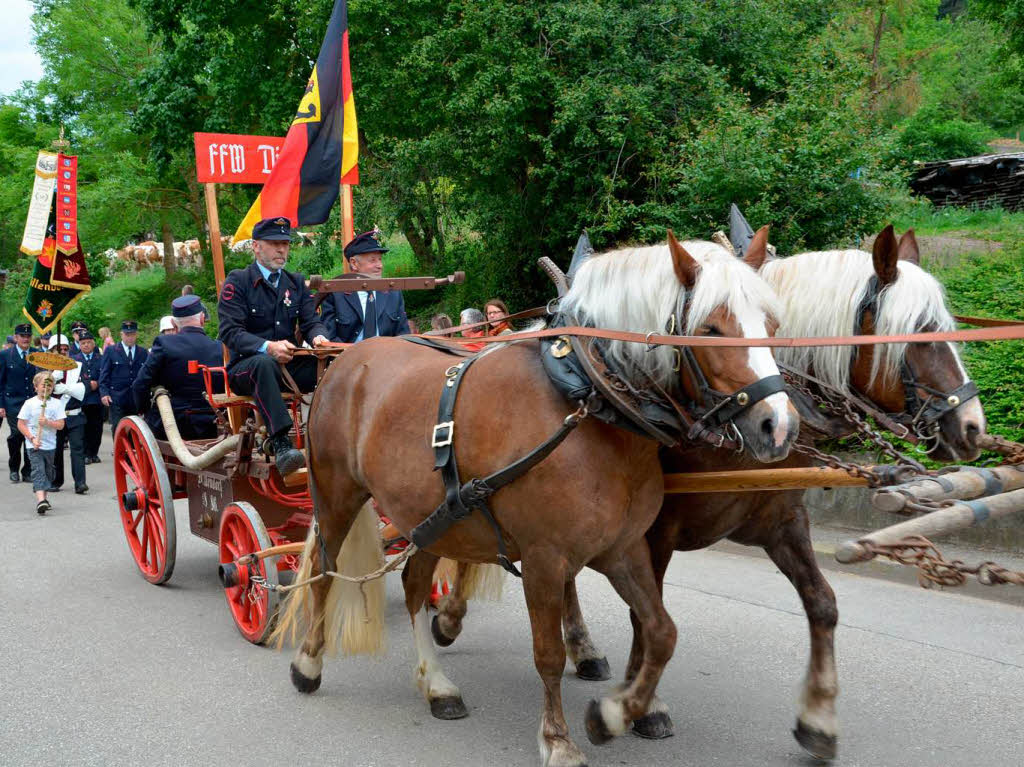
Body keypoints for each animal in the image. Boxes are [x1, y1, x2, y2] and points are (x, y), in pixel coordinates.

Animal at [280, 233, 798, 765]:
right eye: (710, 328)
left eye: (773, 326)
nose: (778, 427)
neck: (588, 401)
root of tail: (346, 360)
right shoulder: (545, 559)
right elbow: (548, 653)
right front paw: (558, 738)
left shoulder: (623, 548)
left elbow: (660, 632)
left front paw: (615, 713)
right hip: (336, 495)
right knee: (323, 574)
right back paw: (309, 663)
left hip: (427, 516)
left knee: (413, 584)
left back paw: (437, 686)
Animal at [430, 223, 983, 761]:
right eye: (923, 334)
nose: (973, 427)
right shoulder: (652, 534)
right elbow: (643, 616)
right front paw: (640, 706)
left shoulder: (780, 524)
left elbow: (822, 603)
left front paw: (818, 719)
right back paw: (452, 619)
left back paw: (581, 648)